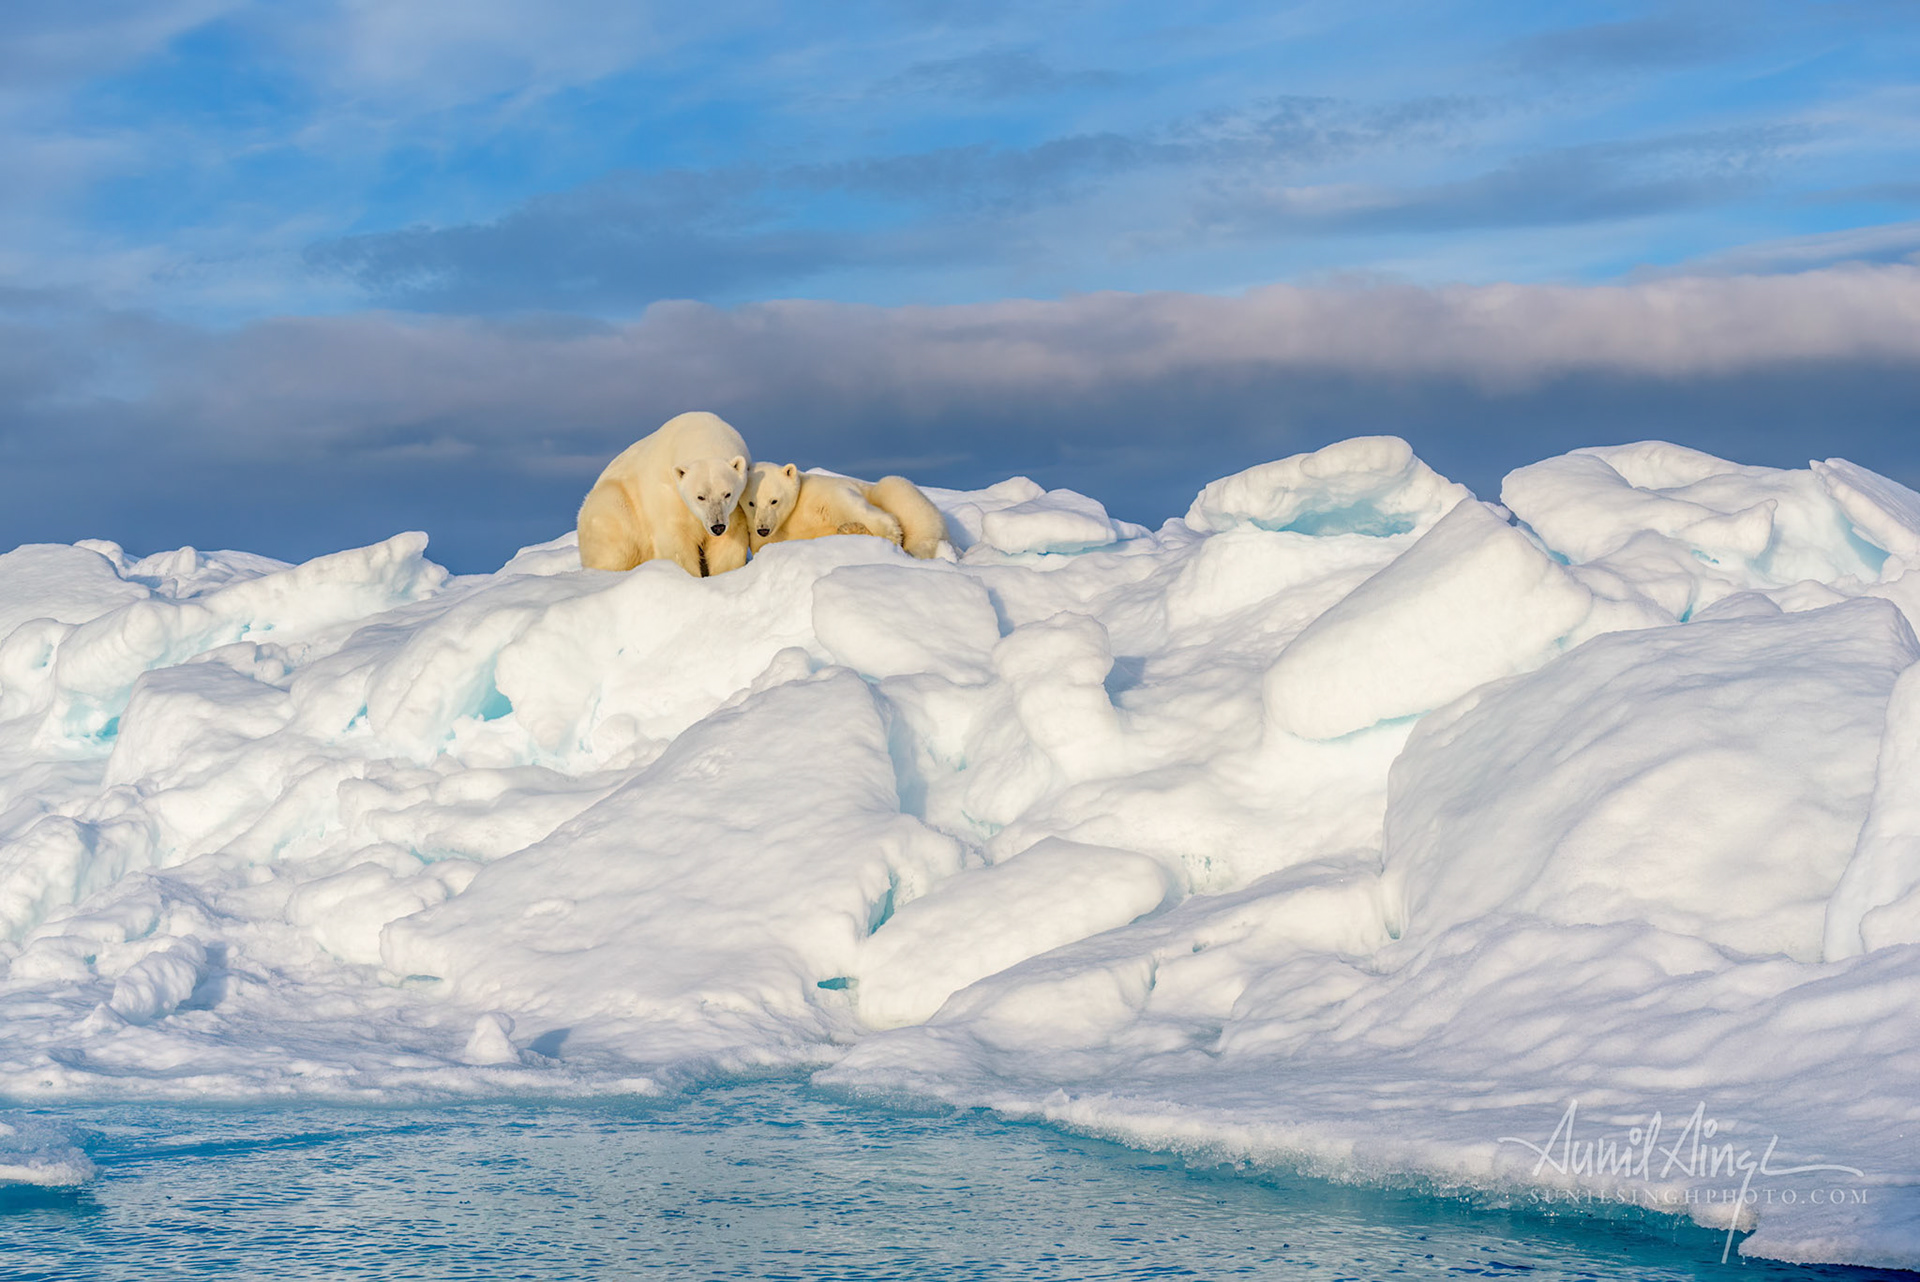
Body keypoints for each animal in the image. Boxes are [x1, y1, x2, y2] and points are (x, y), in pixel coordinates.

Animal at [576, 411, 753, 576]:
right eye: (700, 497)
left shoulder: (735, 508)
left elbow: (729, 542)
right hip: (613, 504)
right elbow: (676, 539)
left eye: (727, 494)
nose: (717, 526)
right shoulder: (668, 493)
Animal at [742, 463, 949, 559]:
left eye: (774, 501)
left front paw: (889, 535)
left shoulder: (823, 493)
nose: (763, 528)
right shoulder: (761, 536)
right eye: (751, 503)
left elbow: (858, 508)